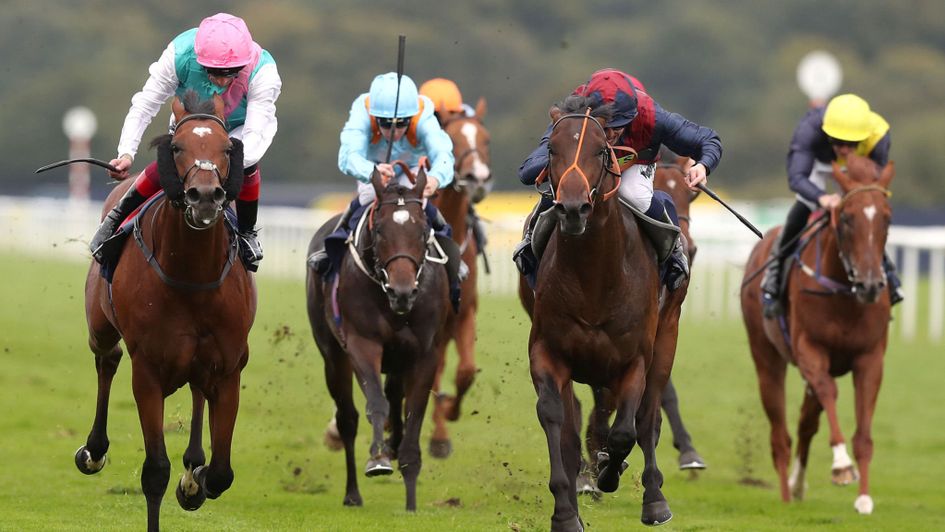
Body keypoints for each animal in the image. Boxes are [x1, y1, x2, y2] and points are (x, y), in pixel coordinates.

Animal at [78, 92, 253, 532]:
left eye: (228, 149)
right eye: (176, 147)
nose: (205, 196)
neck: (192, 275)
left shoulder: (229, 367)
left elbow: (222, 473)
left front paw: (196, 480)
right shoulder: (149, 371)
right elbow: (155, 470)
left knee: (196, 391)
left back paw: (193, 469)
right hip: (101, 326)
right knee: (107, 359)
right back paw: (94, 450)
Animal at [304, 167, 448, 512]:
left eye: (423, 230)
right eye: (380, 230)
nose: (402, 292)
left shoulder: (426, 353)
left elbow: (414, 412)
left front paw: (411, 497)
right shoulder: (362, 343)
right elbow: (375, 403)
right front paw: (378, 459)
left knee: (395, 393)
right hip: (333, 356)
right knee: (348, 417)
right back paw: (353, 493)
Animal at [524, 97, 672, 528]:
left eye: (599, 150)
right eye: (551, 150)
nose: (573, 209)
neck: (594, 277)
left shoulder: (634, 359)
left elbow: (626, 430)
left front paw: (609, 470)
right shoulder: (547, 352)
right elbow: (557, 421)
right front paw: (565, 511)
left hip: (666, 339)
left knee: (648, 417)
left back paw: (654, 499)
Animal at [744, 155, 892, 516]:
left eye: (887, 218)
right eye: (848, 218)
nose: (870, 285)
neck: (843, 293)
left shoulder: (870, 358)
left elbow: (862, 432)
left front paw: (864, 498)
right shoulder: (810, 350)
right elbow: (829, 392)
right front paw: (841, 465)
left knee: (805, 421)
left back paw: (797, 485)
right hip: (767, 358)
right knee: (780, 435)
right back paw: (786, 493)